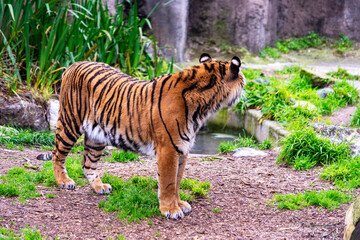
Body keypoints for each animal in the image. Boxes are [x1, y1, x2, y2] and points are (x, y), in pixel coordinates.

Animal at [37, 53, 245, 220]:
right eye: (242, 80)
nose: (245, 86)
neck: (204, 107)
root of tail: (74, 64)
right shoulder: (168, 149)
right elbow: (168, 182)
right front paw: (170, 210)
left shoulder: (182, 149)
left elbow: (177, 181)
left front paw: (179, 204)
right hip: (70, 122)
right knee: (57, 154)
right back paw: (64, 182)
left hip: (97, 135)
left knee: (87, 163)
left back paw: (99, 187)